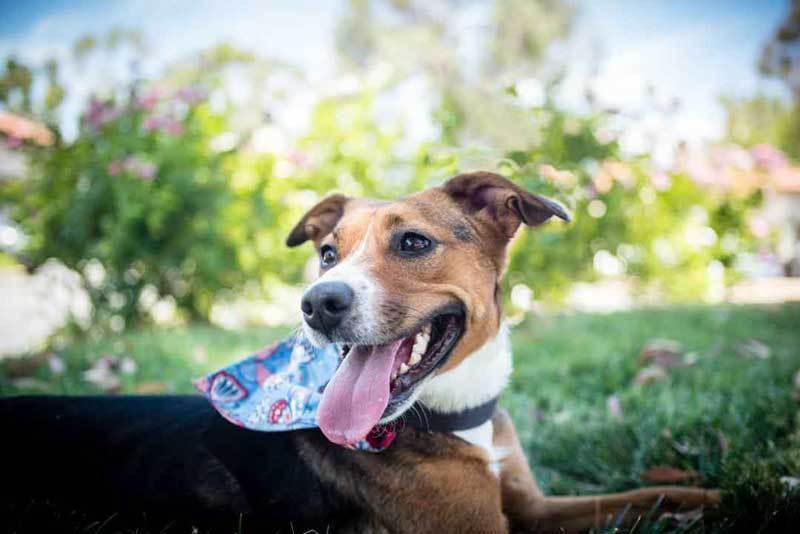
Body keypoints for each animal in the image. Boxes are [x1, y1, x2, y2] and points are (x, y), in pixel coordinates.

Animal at [1, 173, 720, 534]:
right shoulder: (478, 530)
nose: (317, 303)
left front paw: (711, 492)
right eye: (327, 253)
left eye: (413, 242)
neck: (456, 415)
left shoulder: (531, 507)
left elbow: (645, 493)